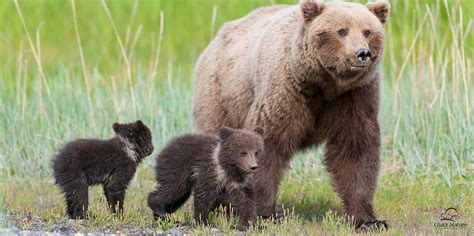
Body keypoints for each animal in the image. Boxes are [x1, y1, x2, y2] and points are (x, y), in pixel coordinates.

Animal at [192, 0, 388, 229]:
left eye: (368, 31)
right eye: (342, 31)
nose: (362, 53)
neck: (325, 84)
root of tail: (214, 41)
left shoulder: (354, 97)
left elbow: (355, 151)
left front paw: (367, 219)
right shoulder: (287, 91)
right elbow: (268, 144)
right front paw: (264, 214)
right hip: (223, 97)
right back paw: (221, 205)